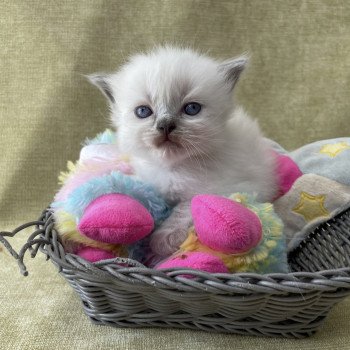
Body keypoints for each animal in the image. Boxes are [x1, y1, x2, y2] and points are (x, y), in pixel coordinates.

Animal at [88, 47, 278, 258]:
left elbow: (186, 207)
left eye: (192, 108)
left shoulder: (230, 188)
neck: (174, 169)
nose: (165, 125)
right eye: (143, 112)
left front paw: (162, 240)